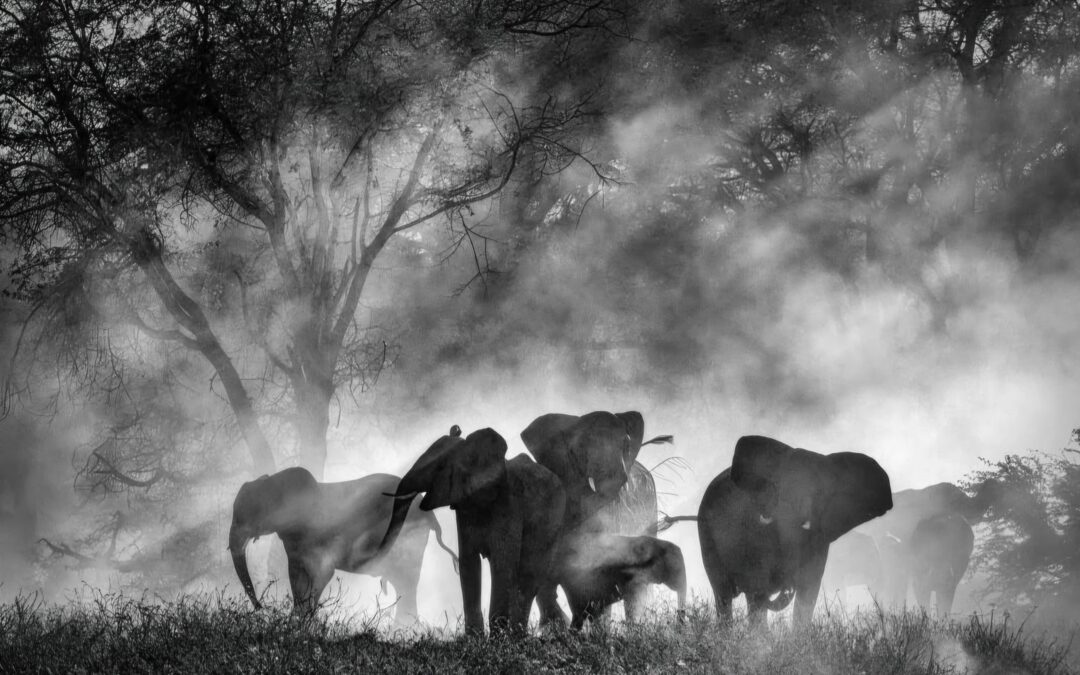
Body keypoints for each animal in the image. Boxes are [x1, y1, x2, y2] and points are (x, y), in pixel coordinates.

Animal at [228, 467, 458, 620]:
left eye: (250, 514)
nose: (262, 608)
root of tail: (430, 517)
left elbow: (322, 574)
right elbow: (296, 577)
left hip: (409, 539)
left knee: (407, 582)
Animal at [378, 426, 565, 636]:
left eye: (440, 467)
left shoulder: (509, 504)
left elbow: (502, 563)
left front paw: (497, 639)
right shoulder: (464, 506)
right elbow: (468, 563)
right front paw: (474, 638)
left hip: (553, 523)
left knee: (529, 577)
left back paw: (518, 636)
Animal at [697, 435, 892, 627]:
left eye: (819, 493)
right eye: (778, 488)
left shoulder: (819, 538)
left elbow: (808, 590)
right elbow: (757, 587)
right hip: (706, 535)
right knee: (724, 594)